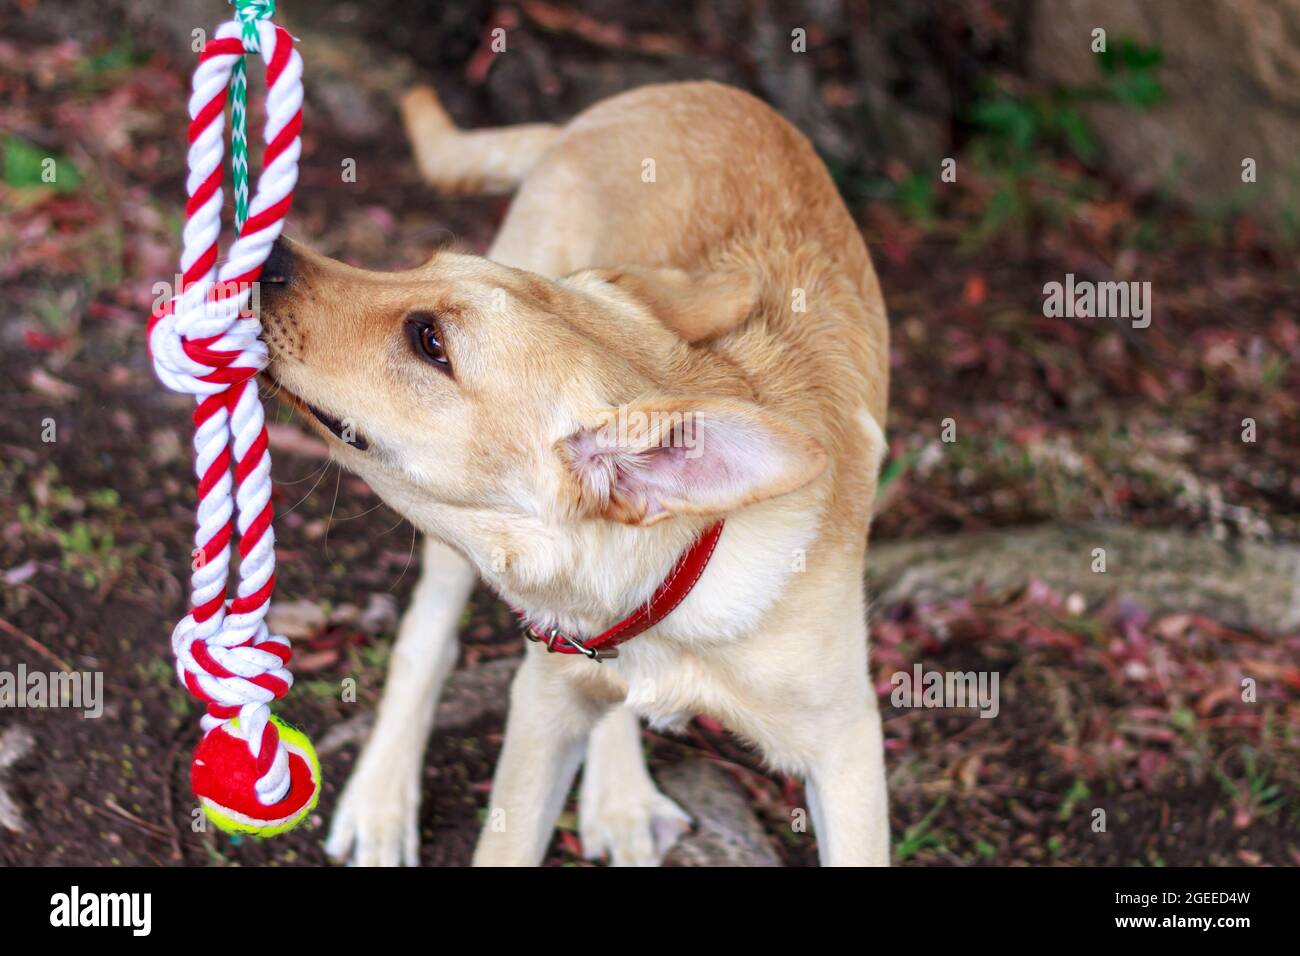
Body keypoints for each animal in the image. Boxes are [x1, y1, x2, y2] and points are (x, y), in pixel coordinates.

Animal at [263, 78, 894, 863]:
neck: (678, 577)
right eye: (421, 269)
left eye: (430, 341)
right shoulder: (542, 706)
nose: (265, 255)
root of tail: (661, 90)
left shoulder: (848, 750)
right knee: (426, 639)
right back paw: (384, 801)